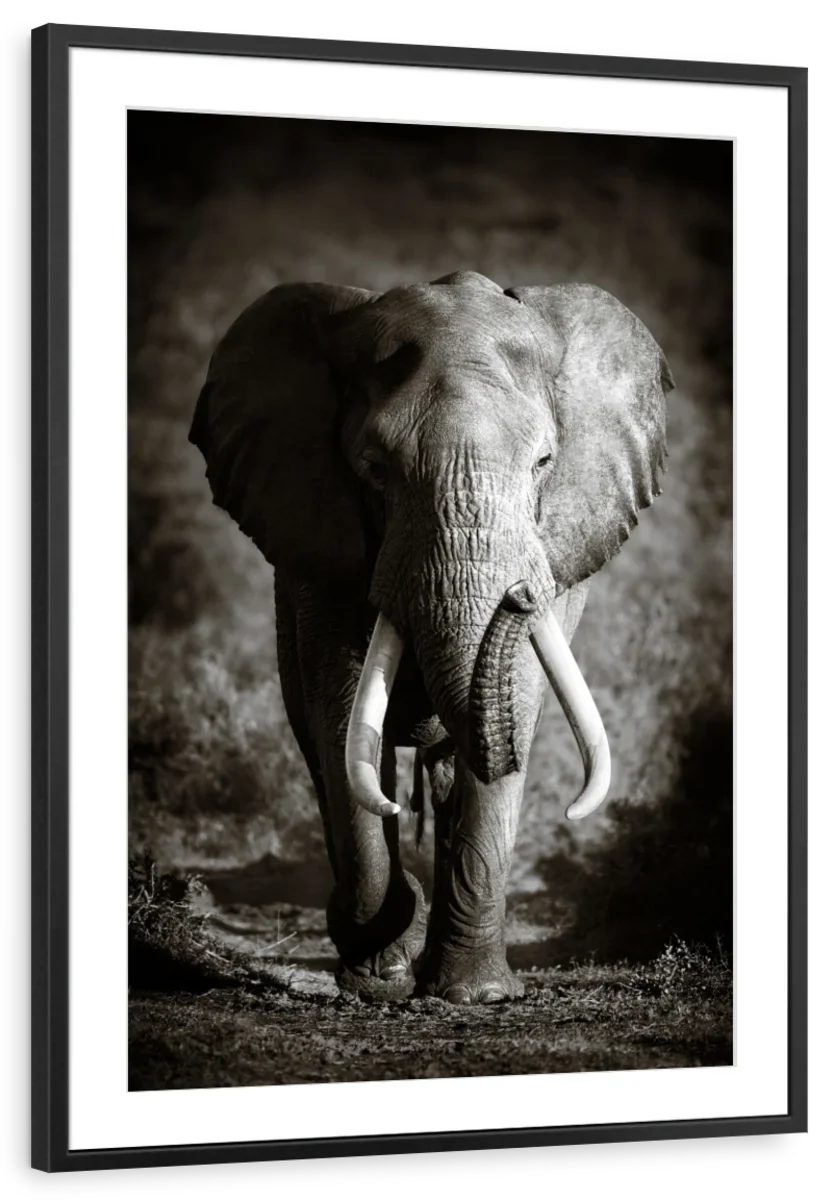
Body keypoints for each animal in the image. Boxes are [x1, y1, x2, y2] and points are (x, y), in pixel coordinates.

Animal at [188, 269, 674, 1005]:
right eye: (374, 467)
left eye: (544, 463)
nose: (519, 595)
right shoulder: (320, 551)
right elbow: (342, 718)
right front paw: (380, 976)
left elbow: (515, 704)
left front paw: (477, 995)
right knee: (325, 749)